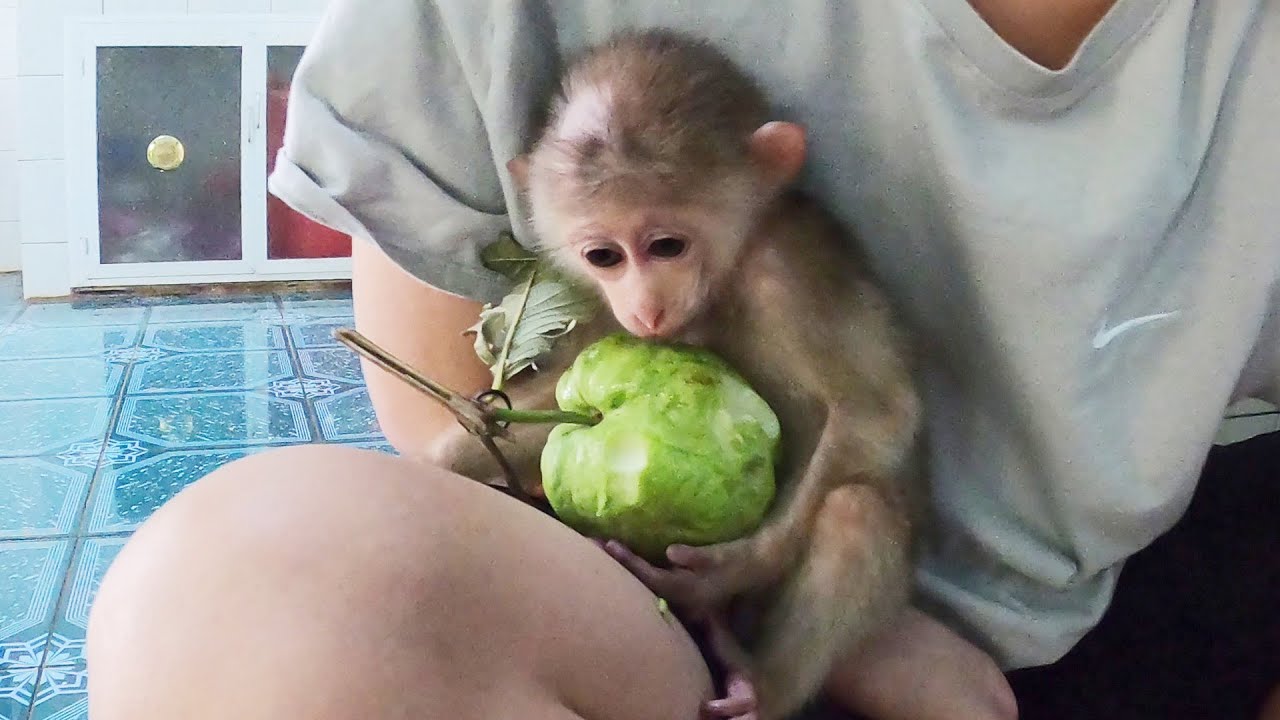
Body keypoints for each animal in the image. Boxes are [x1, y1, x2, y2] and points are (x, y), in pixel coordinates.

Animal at [424, 29, 925, 720]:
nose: (646, 305)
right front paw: (461, 442)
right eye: (604, 256)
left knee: (857, 511)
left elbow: (879, 410)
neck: (726, 279)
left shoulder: (783, 273)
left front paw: (731, 570)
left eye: (666, 246)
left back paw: (761, 687)